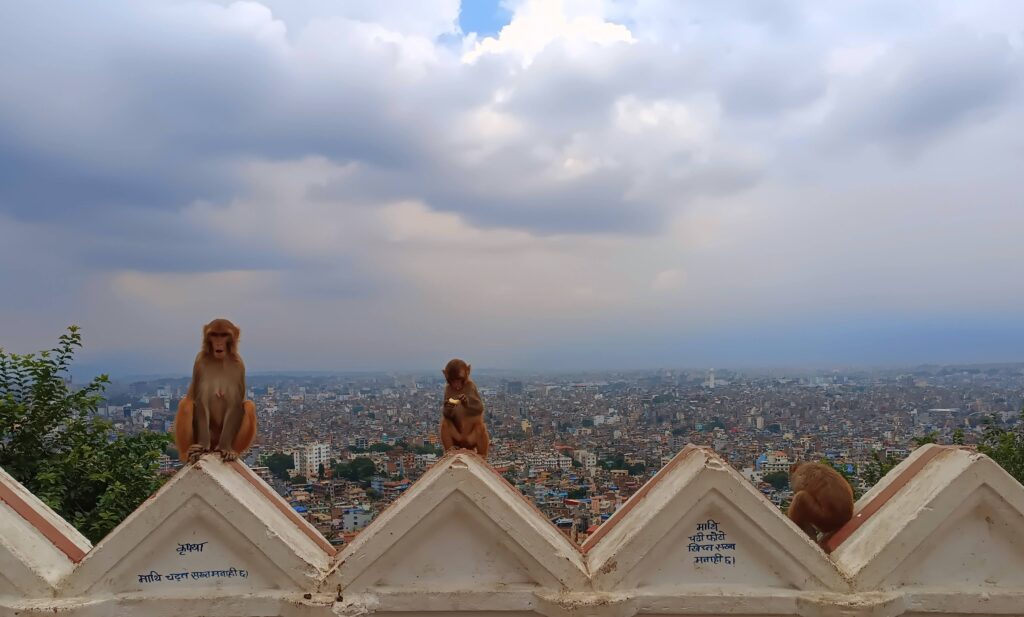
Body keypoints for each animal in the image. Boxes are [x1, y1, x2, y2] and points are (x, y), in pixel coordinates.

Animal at [172, 319, 256, 462]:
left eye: (224, 335)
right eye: (214, 335)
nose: (218, 343)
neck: (220, 360)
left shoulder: (239, 366)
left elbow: (235, 404)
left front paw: (226, 448)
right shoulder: (199, 362)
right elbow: (201, 402)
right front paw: (203, 444)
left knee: (250, 406)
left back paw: (234, 452)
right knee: (186, 404)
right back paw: (188, 452)